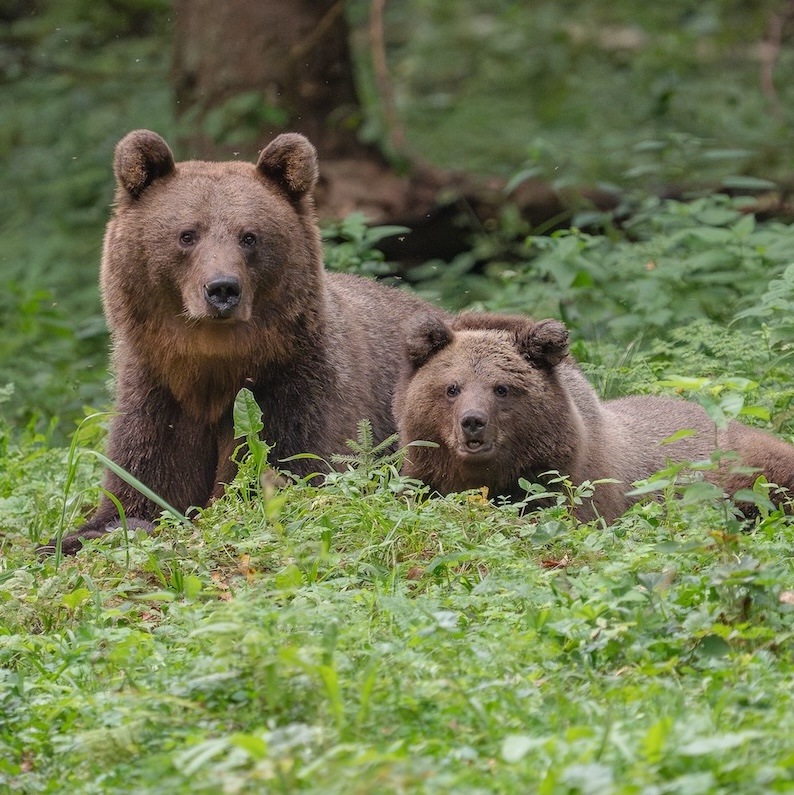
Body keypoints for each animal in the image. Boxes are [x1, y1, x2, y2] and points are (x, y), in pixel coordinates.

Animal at [43, 129, 446, 554]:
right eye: (187, 234)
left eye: (249, 237)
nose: (222, 288)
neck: (214, 364)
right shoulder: (158, 391)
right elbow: (143, 482)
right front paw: (74, 536)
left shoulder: (292, 386)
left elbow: (288, 467)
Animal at [393, 312, 794, 523]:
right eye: (452, 387)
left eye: (501, 388)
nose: (473, 421)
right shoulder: (425, 477)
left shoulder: (568, 485)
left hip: (748, 471)